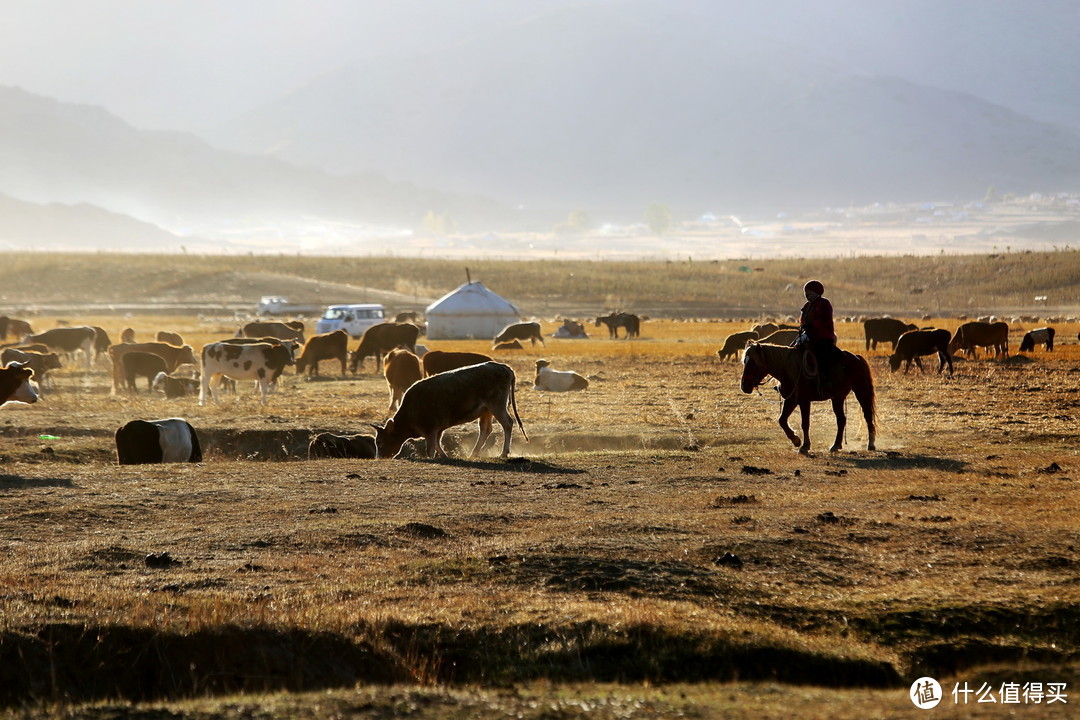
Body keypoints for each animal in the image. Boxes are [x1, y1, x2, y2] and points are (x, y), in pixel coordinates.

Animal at [373, 362, 529, 459]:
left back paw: (503, 453)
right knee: (486, 429)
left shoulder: (430, 429)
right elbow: (437, 443)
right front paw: (444, 455)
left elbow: (431, 448)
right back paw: (473, 453)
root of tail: (504, 367)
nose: (379, 457)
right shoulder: (437, 429)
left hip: (497, 405)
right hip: (486, 411)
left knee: (507, 423)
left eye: (380, 442)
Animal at [743, 341, 876, 453]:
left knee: (868, 415)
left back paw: (871, 444)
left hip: (861, 391)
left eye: (753, 363)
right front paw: (796, 440)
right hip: (837, 397)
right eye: (744, 362)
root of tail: (857, 358)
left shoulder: (804, 401)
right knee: (841, 419)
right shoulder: (790, 400)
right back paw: (836, 445)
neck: (788, 370)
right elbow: (782, 420)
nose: (744, 386)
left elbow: (805, 423)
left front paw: (805, 446)